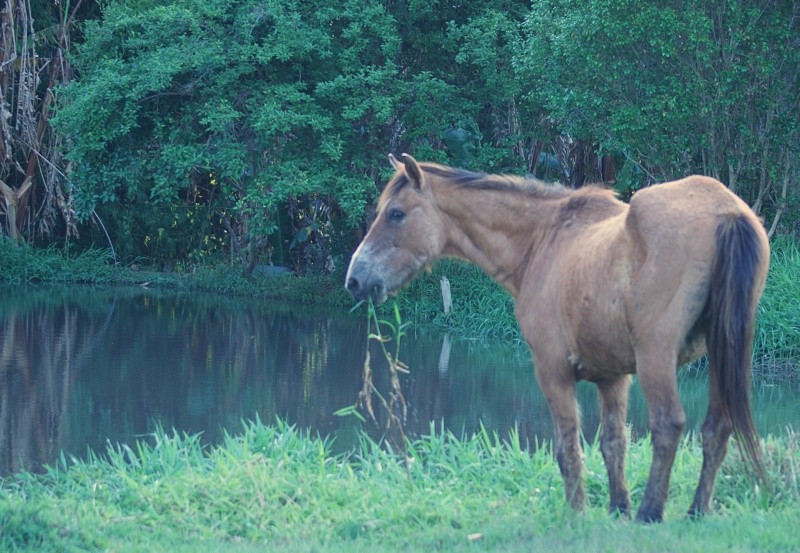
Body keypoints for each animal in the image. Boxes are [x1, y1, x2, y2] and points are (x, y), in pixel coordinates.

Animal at [344, 152, 768, 520]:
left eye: (396, 214)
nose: (355, 279)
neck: (541, 240)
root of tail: (727, 212)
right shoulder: (613, 378)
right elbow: (613, 443)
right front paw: (617, 508)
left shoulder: (552, 369)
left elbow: (568, 448)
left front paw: (577, 511)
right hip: (725, 352)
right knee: (717, 427)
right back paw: (696, 511)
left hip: (656, 357)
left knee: (669, 424)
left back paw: (651, 512)